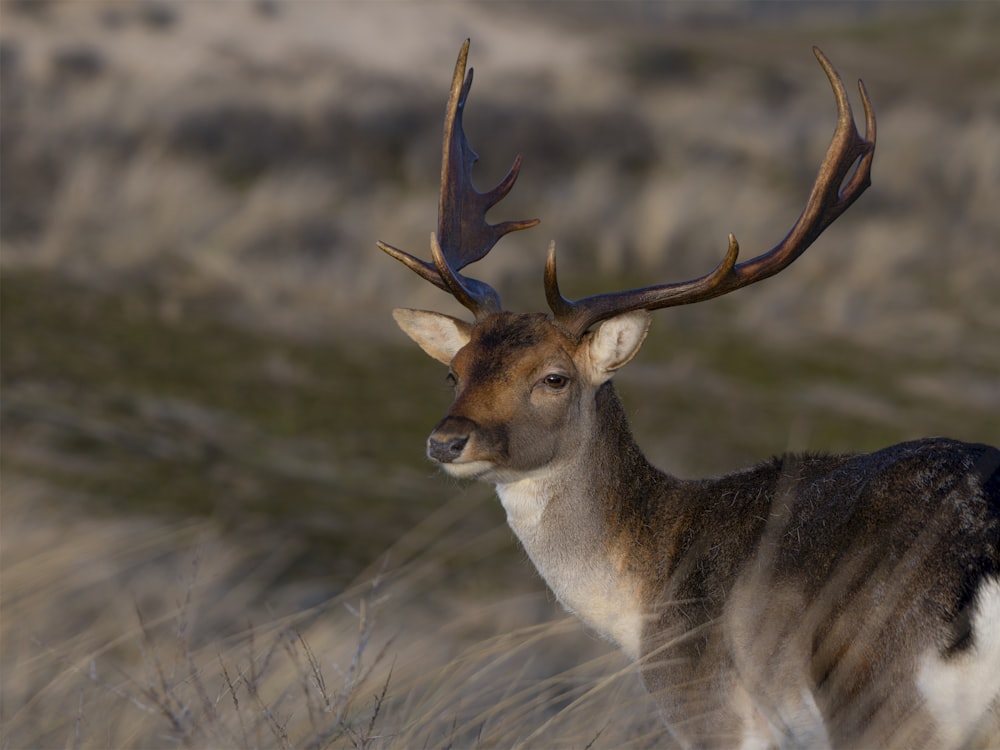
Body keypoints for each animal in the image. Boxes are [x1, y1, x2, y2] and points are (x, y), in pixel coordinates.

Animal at [376, 42, 1000, 750]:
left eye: (554, 377)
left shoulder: (705, 703)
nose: (446, 440)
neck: (643, 600)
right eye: (454, 371)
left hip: (876, 696)